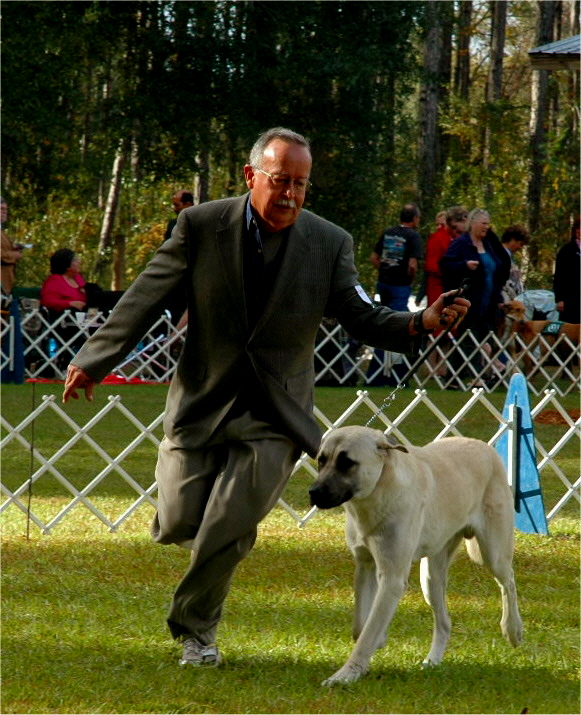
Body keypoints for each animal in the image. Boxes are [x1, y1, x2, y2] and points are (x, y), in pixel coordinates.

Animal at [310, 426, 524, 688]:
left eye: (346, 462)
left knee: (508, 582)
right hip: (430, 578)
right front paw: (377, 642)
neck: (378, 493)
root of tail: (484, 447)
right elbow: (361, 625)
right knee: (444, 622)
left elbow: (366, 633)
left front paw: (346, 674)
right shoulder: (365, 566)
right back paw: (432, 661)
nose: (314, 493)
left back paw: (512, 629)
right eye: (321, 460)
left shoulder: (391, 578)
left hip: (493, 554)